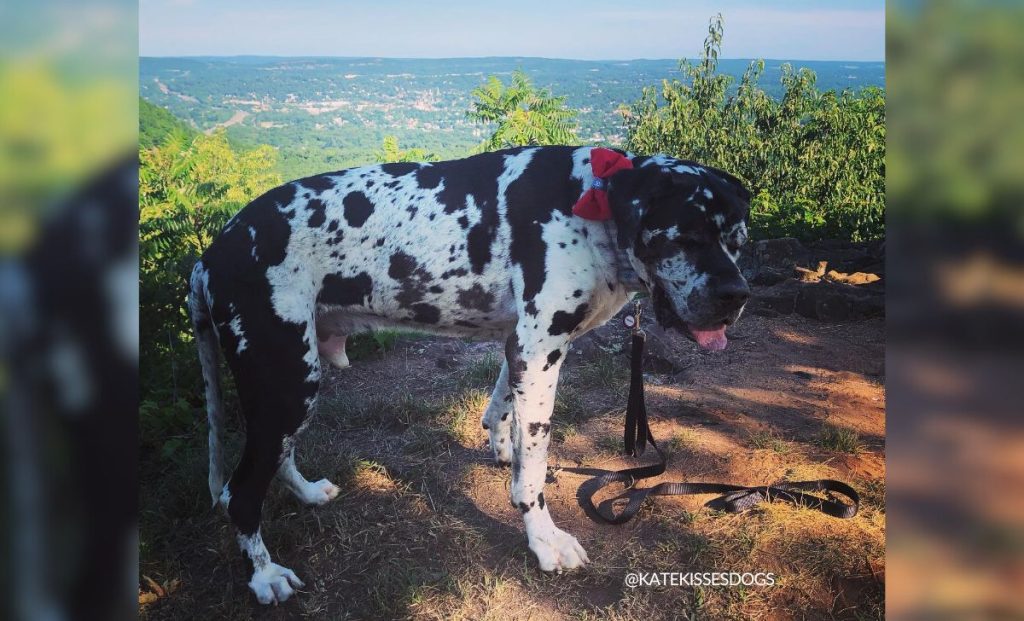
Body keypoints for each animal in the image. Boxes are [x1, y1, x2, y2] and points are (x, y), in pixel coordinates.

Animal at [190, 144, 753, 602]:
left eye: (739, 239)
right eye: (686, 236)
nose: (737, 295)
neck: (589, 207)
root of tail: (210, 256)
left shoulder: (522, 348)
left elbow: (504, 411)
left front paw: (503, 451)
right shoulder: (541, 349)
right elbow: (535, 466)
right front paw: (544, 539)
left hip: (293, 385)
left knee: (277, 456)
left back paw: (306, 493)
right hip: (286, 381)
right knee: (241, 491)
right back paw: (265, 576)